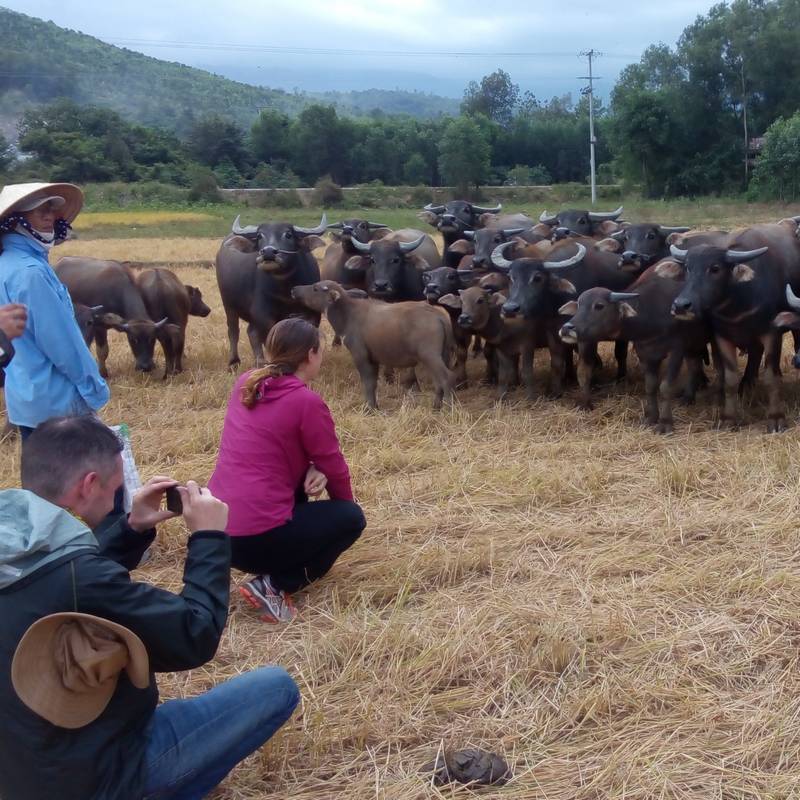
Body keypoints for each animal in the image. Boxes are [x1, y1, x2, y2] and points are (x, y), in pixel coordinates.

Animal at [214, 212, 326, 362]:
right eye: (259, 236)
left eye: (288, 234)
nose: (268, 252)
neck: (286, 290)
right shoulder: (262, 315)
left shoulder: (313, 313)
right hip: (229, 305)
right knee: (234, 330)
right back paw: (234, 361)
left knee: (251, 332)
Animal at [292, 280, 456, 410]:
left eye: (315, 288)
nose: (294, 289)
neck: (348, 316)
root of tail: (439, 316)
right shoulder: (374, 358)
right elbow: (374, 383)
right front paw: (375, 406)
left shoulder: (361, 356)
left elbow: (368, 382)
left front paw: (369, 407)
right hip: (442, 354)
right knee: (438, 381)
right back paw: (436, 406)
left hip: (430, 355)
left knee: (447, 377)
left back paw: (448, 407)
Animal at [668, 217, 800, 432]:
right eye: (687, 267)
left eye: (715, 268)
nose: (681, 305)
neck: (739, 302)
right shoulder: (722, 336)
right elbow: (729, 378)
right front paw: (728, 418)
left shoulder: (772, 333)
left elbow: (771, 377)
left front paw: (776, 418)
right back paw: (747, 384)